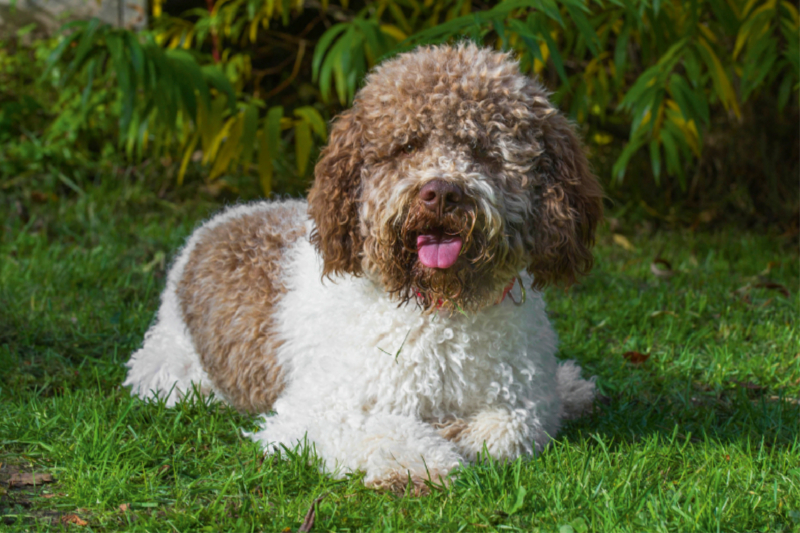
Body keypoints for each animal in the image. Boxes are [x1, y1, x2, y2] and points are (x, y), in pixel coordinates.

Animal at [123, 42, 600, 494]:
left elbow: (508, 429)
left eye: (484, 151)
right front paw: (420, 465)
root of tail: (221, 220)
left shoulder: (524, 400)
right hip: (170, 371)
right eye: (406, 146)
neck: (440, 307)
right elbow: (386, 428)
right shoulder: (317, 410)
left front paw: (459, 431)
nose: (441, 193)